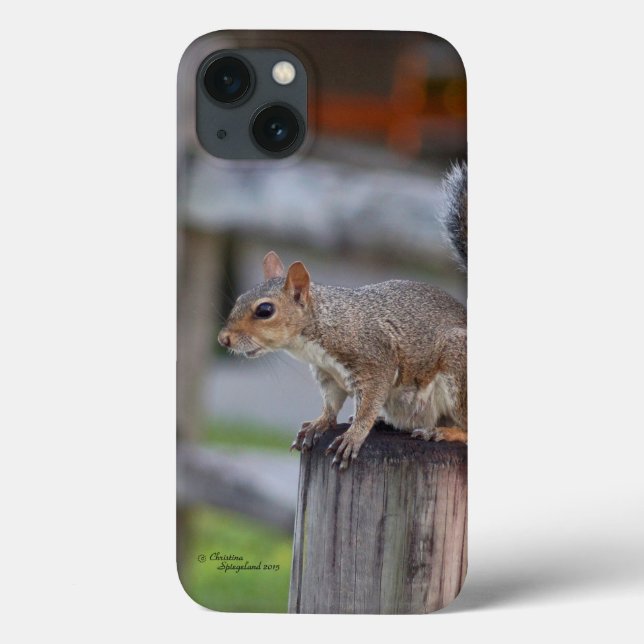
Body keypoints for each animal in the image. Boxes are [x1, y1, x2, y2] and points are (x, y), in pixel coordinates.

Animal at [218, 162, 467, 469]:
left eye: (265, 310)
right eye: (239, 299)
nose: (224, 339)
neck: (324, 323)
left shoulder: (374, 361)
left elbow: (368, 405)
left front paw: (354, 436)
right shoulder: (328, 374)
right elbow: (331, 403)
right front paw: (318, 423)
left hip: (458, 368)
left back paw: (444, 432)